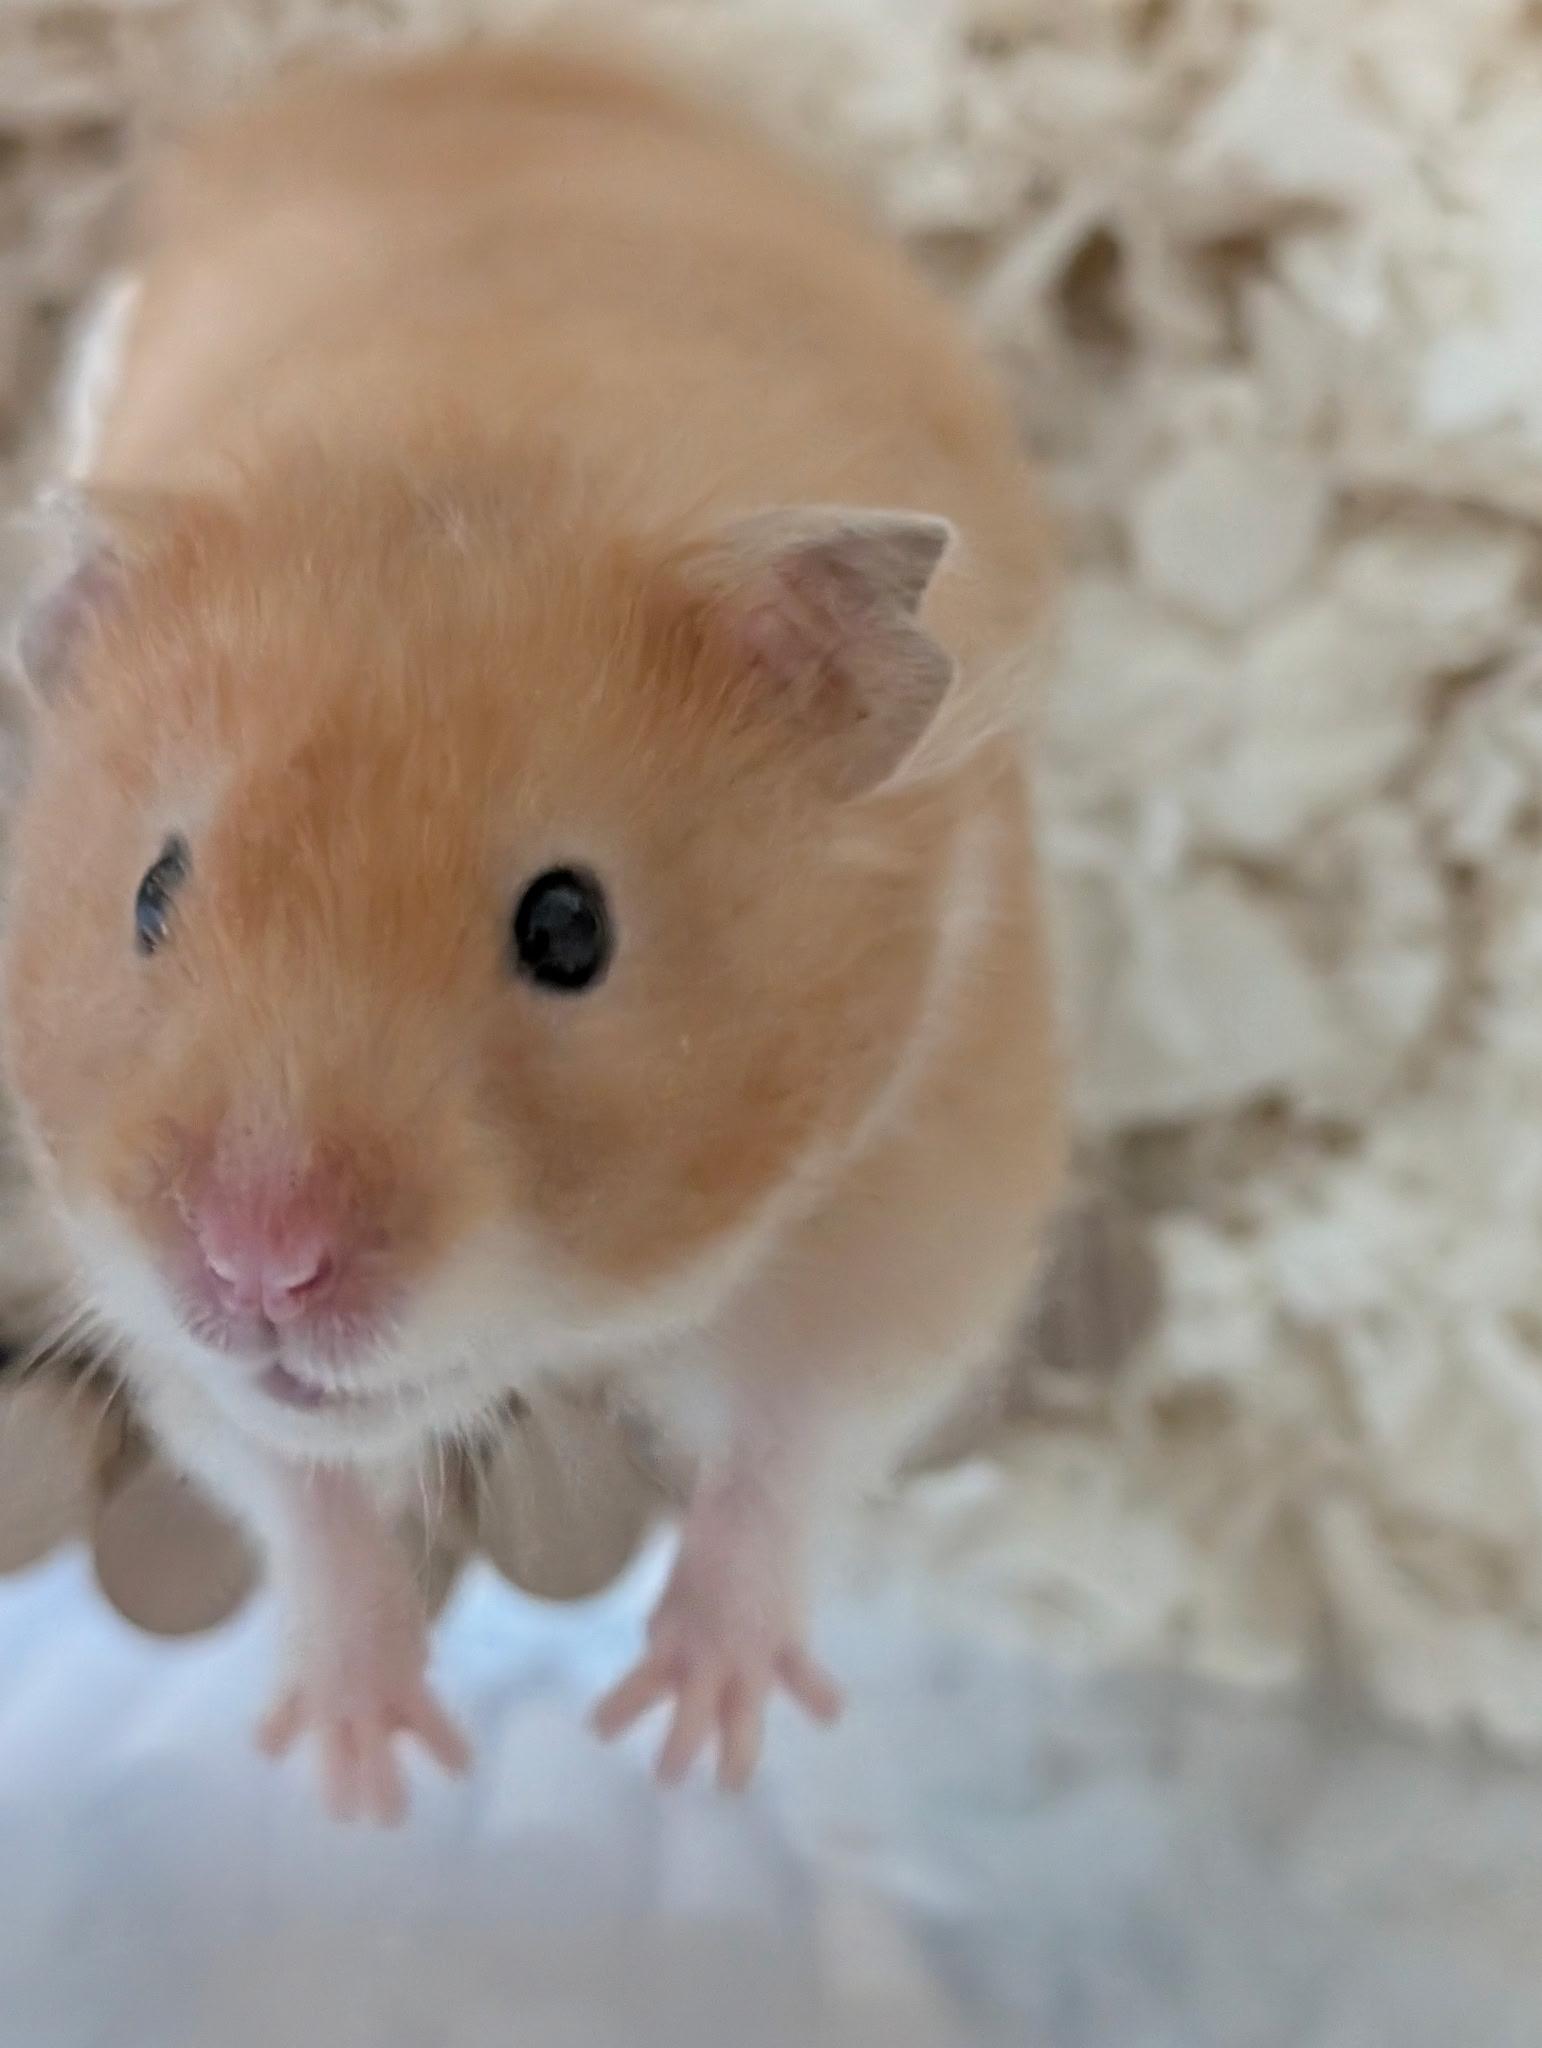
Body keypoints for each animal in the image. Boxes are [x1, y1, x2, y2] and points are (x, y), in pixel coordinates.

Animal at [3, 42, 1065, 1819]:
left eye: (571, 929)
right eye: (149, 894)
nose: (254, 1264)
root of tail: (480, 58)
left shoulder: (915, 1207)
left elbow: (789, 1443)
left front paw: (691, 1740)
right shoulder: (161, 1326)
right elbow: (295, 1484)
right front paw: (365, 1771)